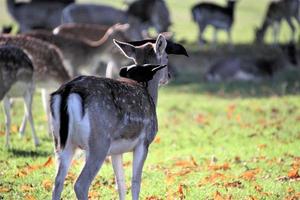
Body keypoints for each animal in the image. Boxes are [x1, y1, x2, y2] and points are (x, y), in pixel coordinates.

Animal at [50, 34, 189, 200]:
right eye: (166, 56)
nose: (168, 76)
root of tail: (69, 90)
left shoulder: (116, 151)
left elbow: (120, 183)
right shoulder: (144, 142)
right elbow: (136, 182)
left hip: (61, 143)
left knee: (57, 182)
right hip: (98, 142)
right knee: (80, 184)